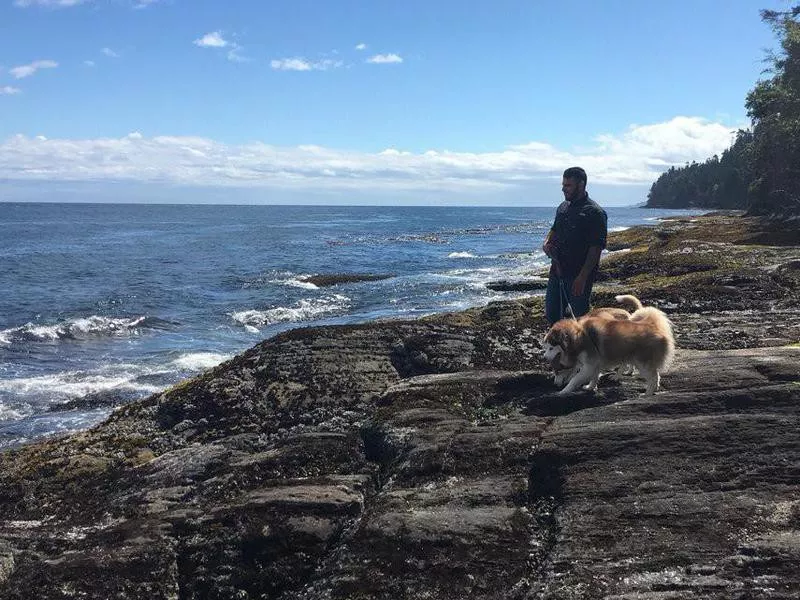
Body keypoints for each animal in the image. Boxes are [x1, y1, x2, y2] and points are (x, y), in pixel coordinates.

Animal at [544, 294, 676, 396]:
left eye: (551, 348)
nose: (544, 357)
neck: (579, 336)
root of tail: (655, 327)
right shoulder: (595, 363)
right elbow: (594, 377)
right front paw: (590, 387)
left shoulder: (589, 365)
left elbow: (574, 380)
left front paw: (563, 392)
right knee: (655, 375)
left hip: (642, 363)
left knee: (653, 377)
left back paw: (647, 394)